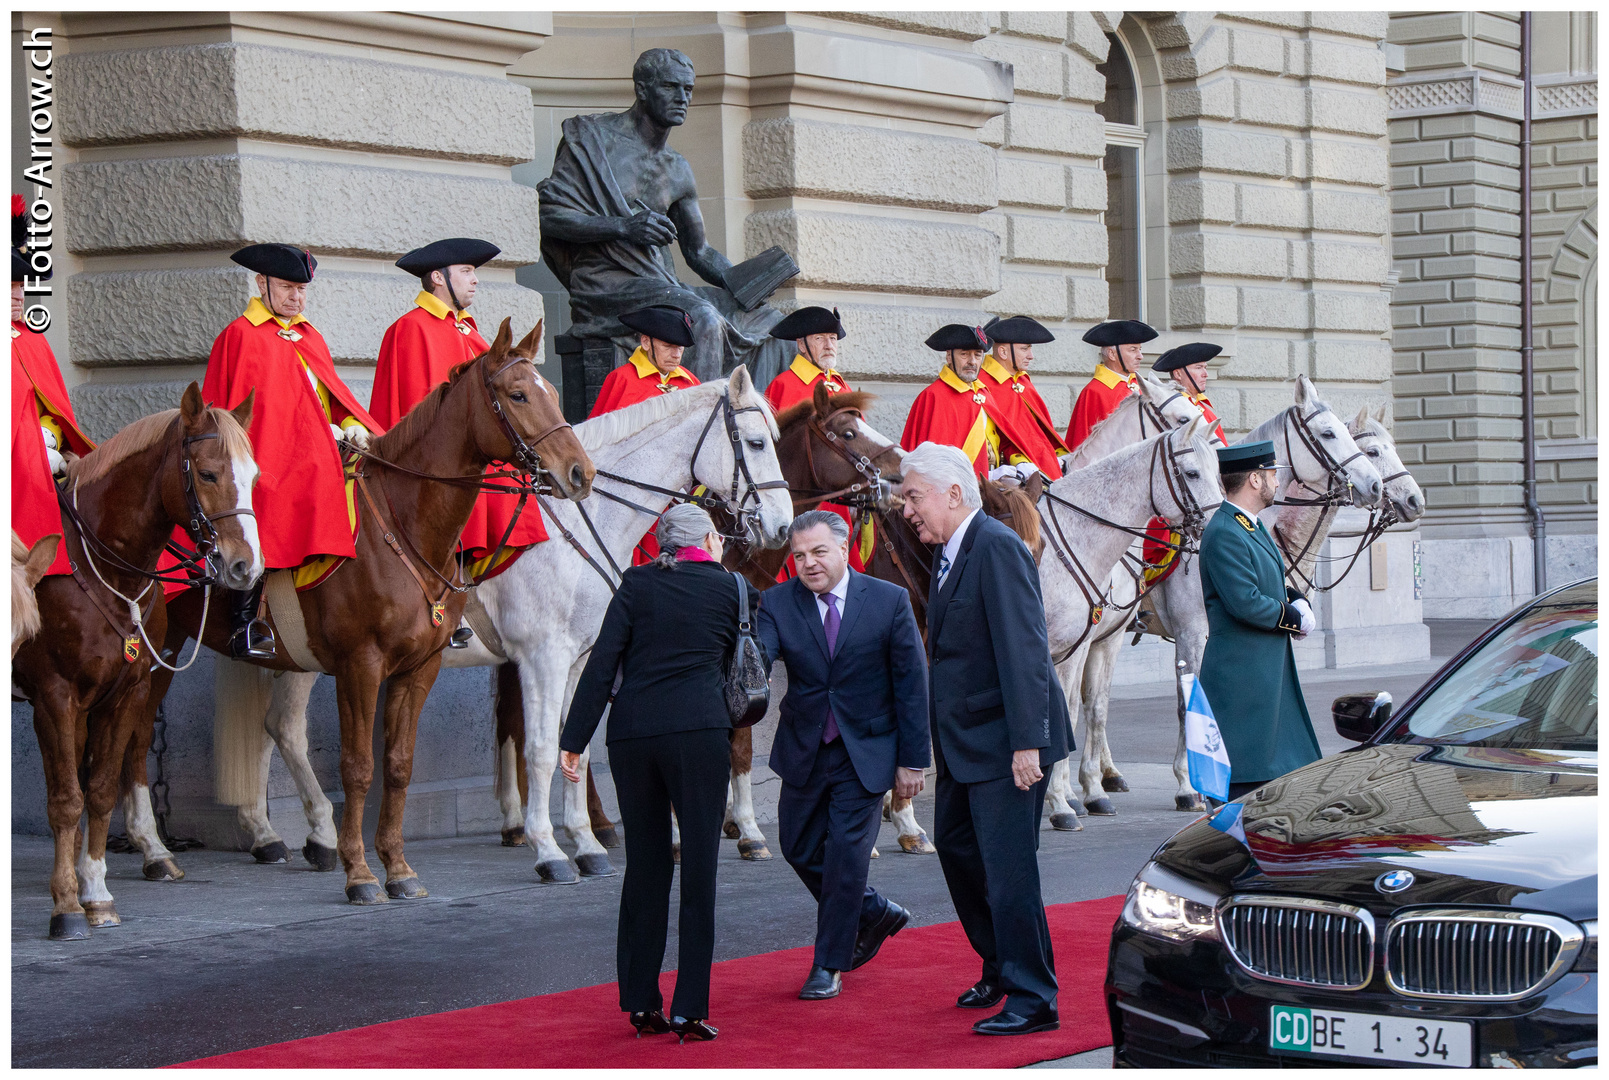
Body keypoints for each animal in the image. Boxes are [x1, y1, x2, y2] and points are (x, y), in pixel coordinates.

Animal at [13, 389, 260, 939]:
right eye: (207, 473)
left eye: (254, 476)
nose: (246, 566)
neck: (106, 570)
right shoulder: (55, 696)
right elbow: (66, 798)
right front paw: (66, 905)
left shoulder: (125, 691)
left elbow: (101, 788)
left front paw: (95, 891)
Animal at [143, 318, 598, 901]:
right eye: (518, 395)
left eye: (553, 395)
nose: (580, 472)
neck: (404, 530)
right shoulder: (360, 665)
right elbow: (359, 766)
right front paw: (359, 873)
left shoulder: (420, 667)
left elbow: (398, 765)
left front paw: (398, 868)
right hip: (152, 653)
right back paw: (154, 850)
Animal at [1042, 376, 1383, 824]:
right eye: (1328, 434)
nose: (1378, 487)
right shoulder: (1188, 632)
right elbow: (1182, 703)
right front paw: (1188, 785)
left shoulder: (1107, 638)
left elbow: (1096, 705)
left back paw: (1105, 777)